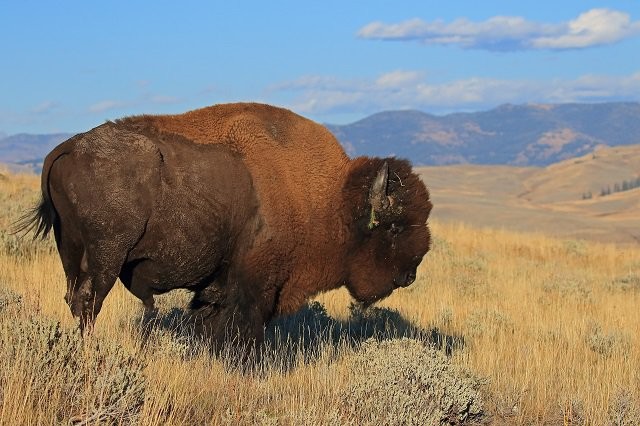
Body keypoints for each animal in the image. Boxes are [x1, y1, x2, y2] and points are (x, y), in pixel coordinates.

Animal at [20, 102, 432, 346]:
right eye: (393, 227)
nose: (410, 275)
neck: (334, 198)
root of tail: (67, 148)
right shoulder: (255, 286)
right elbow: (244, 329)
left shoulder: (216, 286)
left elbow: (208, 322)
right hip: (106, 257)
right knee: (89, 302)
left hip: (71, 252)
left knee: (76, 299)